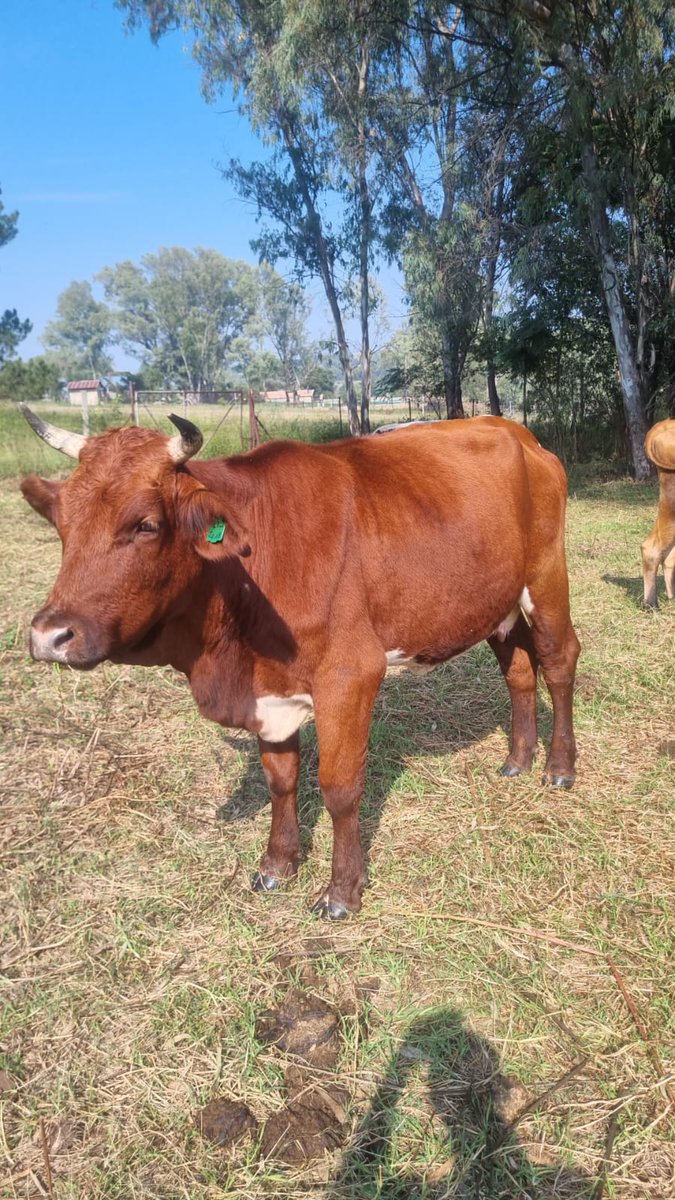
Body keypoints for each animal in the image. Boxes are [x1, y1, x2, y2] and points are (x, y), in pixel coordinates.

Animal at [19, 407, 580, 918]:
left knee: (558, 661)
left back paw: (558, 768)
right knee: (518, 668)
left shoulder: (350, 675)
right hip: (493, 602)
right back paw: (518, 758)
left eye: (146, 524)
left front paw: (342, 892)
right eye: (62, 524)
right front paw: (276, 865)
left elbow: (339, 787)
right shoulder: (269, 692)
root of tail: (516, 431)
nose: (49, 636)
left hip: (547, 575)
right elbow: (280, 779)